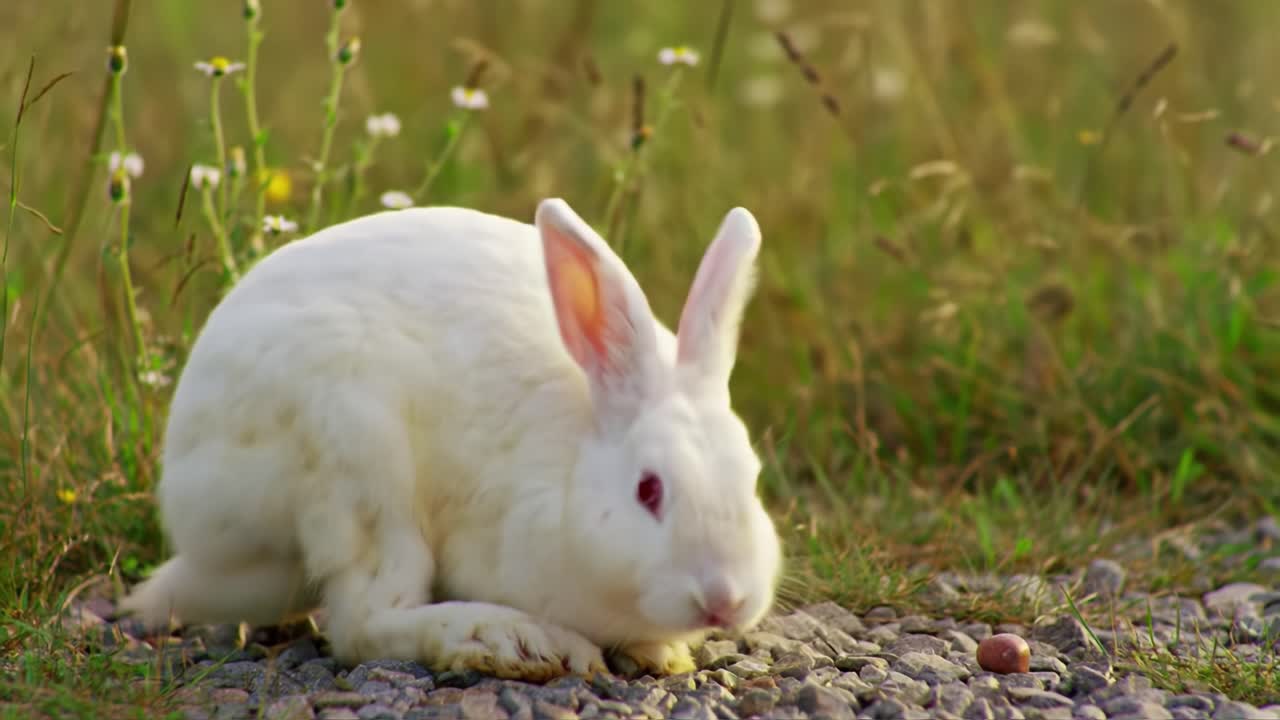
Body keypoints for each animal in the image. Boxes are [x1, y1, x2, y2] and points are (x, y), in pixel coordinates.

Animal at [118, 197, 783, 681]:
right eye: (649, 490)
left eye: (752, 482)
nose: (725, 598)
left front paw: (662, 654)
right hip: (357, 459)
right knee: (365, 623)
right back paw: (515, 642)